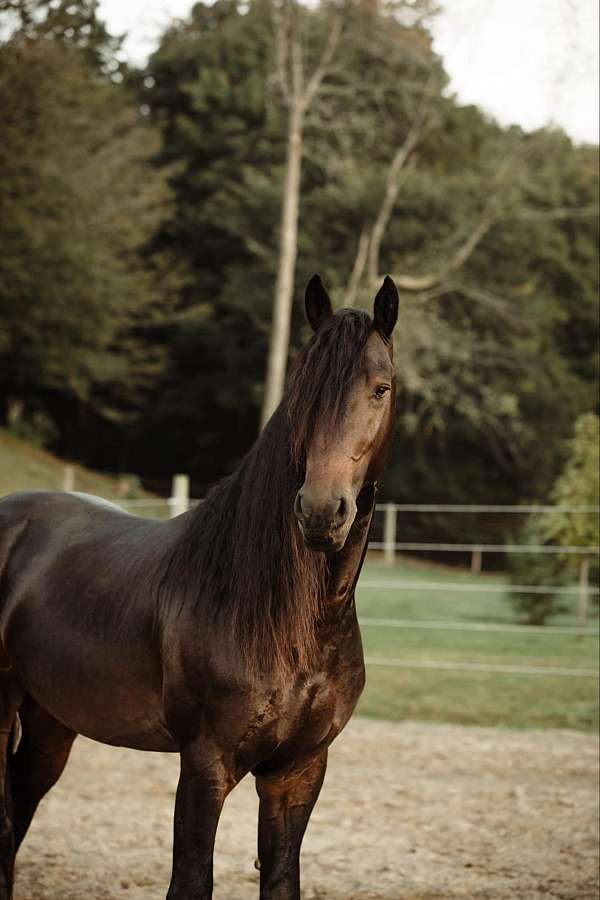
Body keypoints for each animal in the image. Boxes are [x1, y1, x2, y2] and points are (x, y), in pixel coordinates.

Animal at [0, 276, 398, 900]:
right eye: (303, 390)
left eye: (380, 389)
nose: (320, 511)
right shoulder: (205, 763)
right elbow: (191, 879)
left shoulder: (299, 770)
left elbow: (281, 879)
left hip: (49, 722)